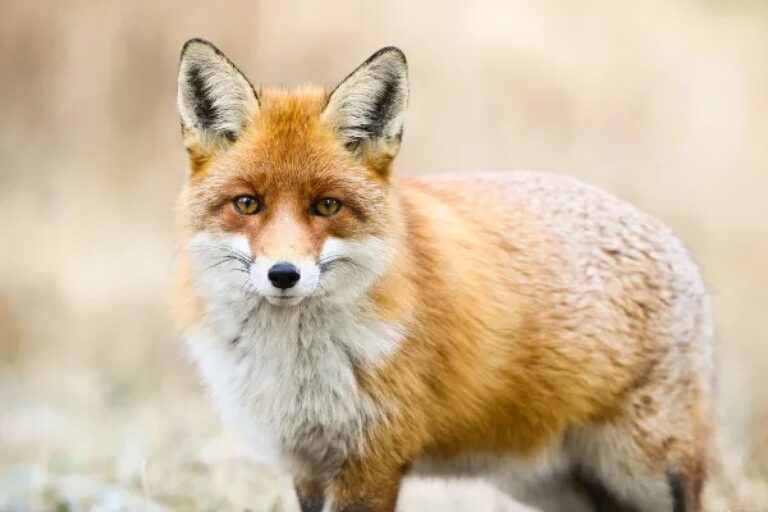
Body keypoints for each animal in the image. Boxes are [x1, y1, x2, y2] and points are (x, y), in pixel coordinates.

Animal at [174, 39, 715, 512]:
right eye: (248, 203)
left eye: (327, 206)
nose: (283, 274)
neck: (298, 368)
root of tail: (677, 246)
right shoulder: (307, 464)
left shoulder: (373, 460)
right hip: (554, 485)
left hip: (643, 468)